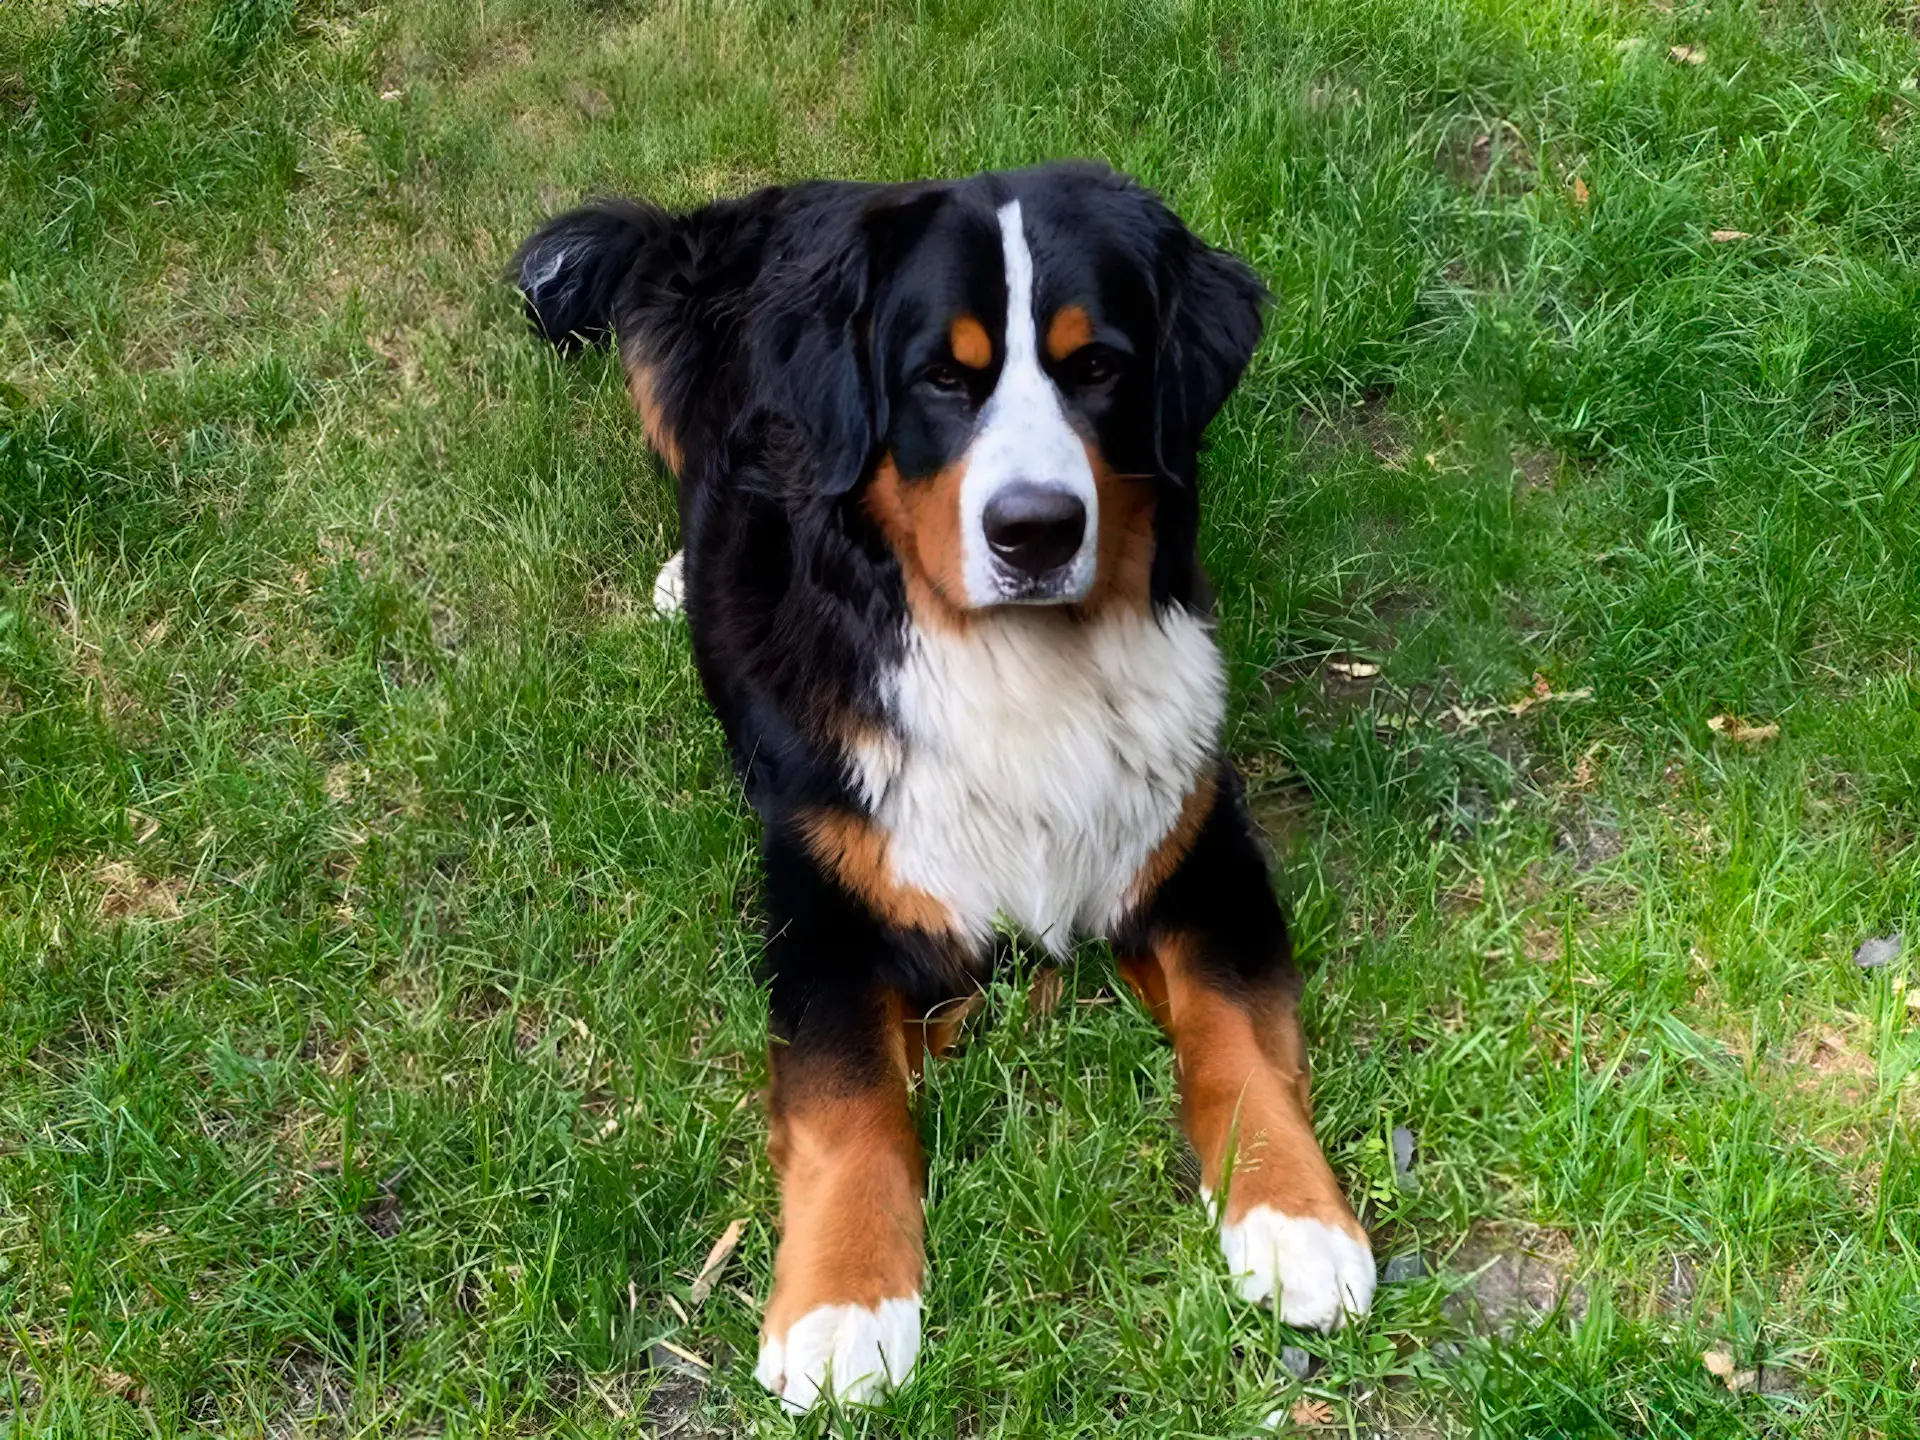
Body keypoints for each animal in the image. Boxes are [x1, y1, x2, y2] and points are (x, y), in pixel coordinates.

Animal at [518, 163, 1374, 1413]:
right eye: (941, 378)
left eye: (1099, 365)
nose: (1036, 531)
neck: (1021, 665)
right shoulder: (826, 903)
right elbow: (848, 1102)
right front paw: (842, 1306)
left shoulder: (1199, 847)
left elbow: (1240, 1036)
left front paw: (1293, 1217)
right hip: (661, 348)